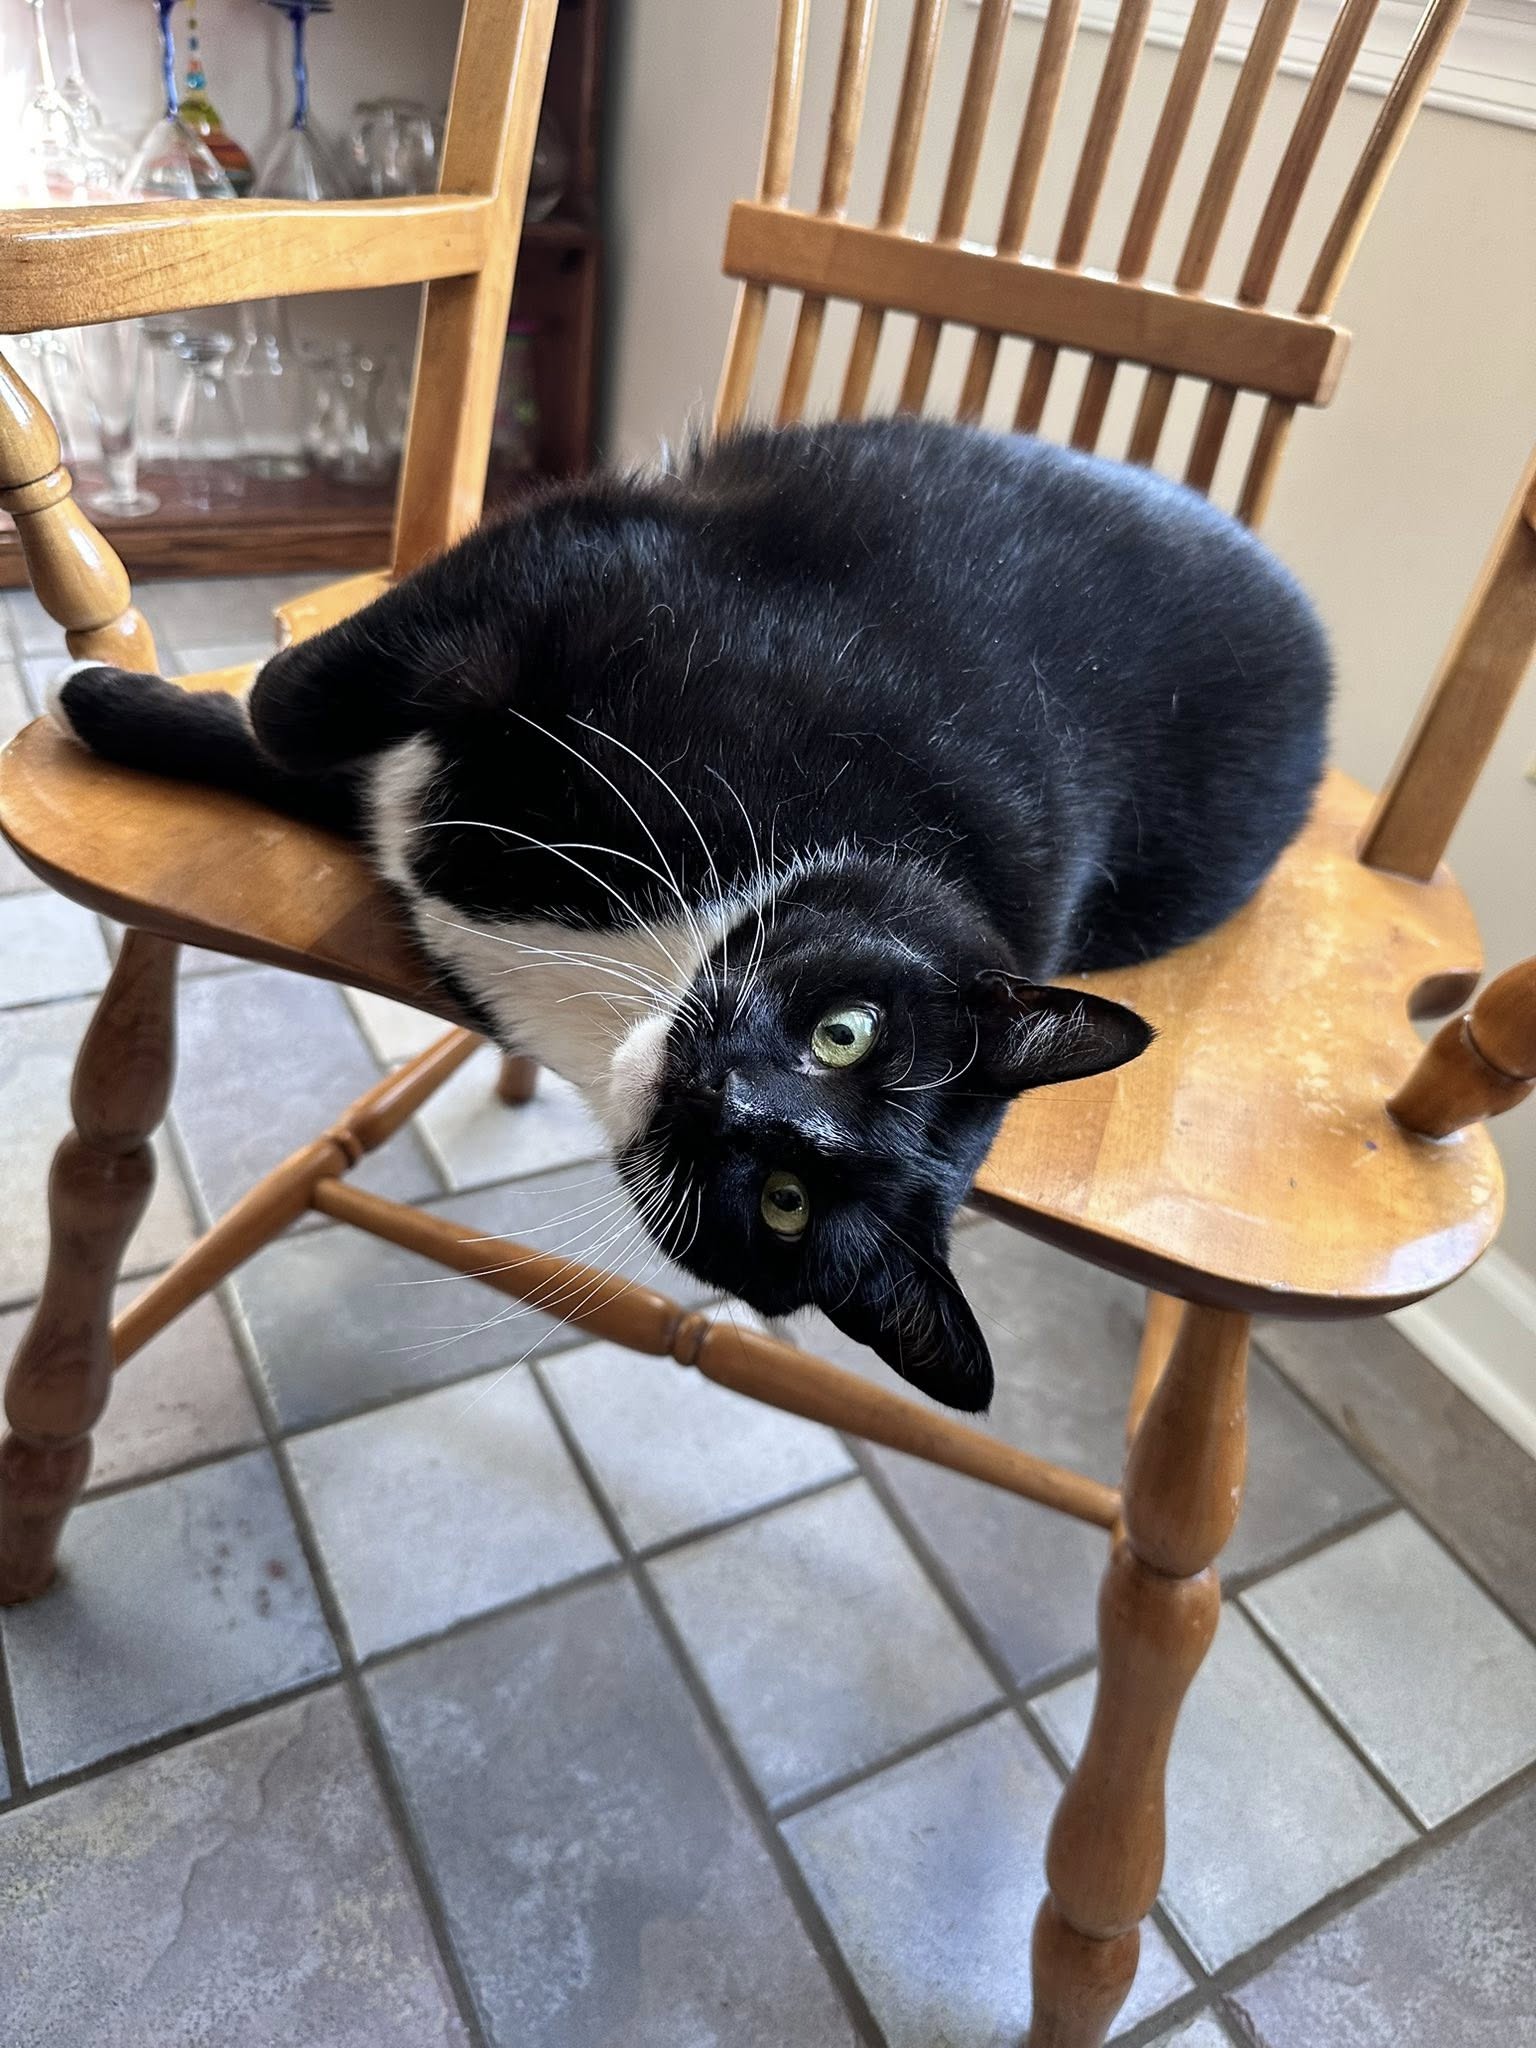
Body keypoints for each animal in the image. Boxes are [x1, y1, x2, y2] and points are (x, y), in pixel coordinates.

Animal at [50, 416, 1330, 1411]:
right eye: (848, 1031)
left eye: (784, 1203)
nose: (730, 1095)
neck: (647, 964)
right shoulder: (602, 570)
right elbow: (299, 710)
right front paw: (109, 694)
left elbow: (340, 783)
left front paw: (119, 707)